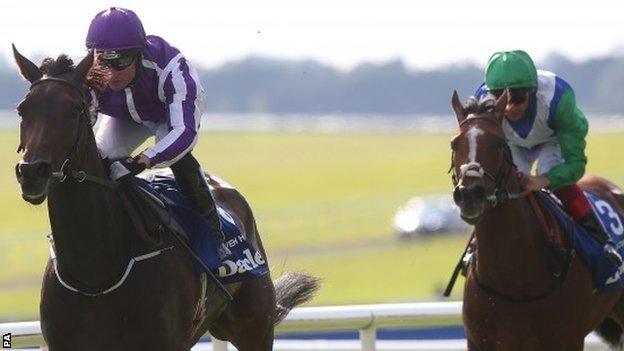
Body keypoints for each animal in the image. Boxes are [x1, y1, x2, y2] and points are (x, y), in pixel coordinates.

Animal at [450, 92, 624, 350]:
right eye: (454, 144)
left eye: (498, 143)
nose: (470, 195)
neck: (511, 276)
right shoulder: (480, 341)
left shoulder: (568, 339)